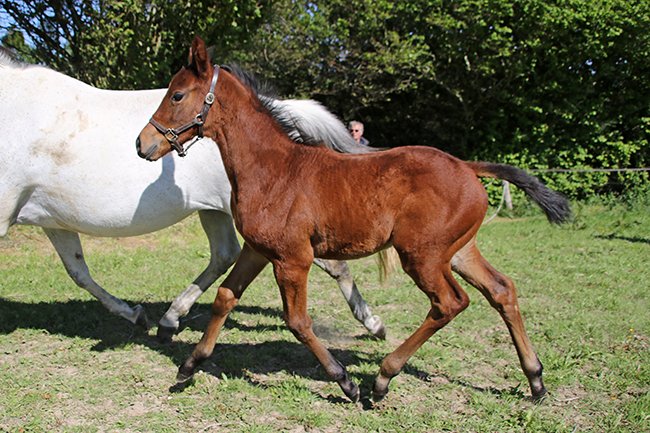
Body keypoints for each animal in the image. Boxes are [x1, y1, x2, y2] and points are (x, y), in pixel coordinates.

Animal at [0, 50, 387, 342]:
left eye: (177, 95)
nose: (141, 144)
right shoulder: (53, 219)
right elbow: (79, 271)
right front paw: (135, 314)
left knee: (331, 264)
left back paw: (374, 324)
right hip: (215, 210)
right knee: (224, 254)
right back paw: (169, 319)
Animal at [136, 36, 571, 403]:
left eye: (177, 94)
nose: (143, 144)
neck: (273, 168)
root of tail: (467, 166)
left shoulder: (293, 259)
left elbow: (297, 321)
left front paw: (344, 381)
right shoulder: (259, 250)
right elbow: (225, 297)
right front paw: (189, 366)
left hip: (423, 255)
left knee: (450, 303)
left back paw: (382, 379)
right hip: (458, 250)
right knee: (501, 290)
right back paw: (535, 380)